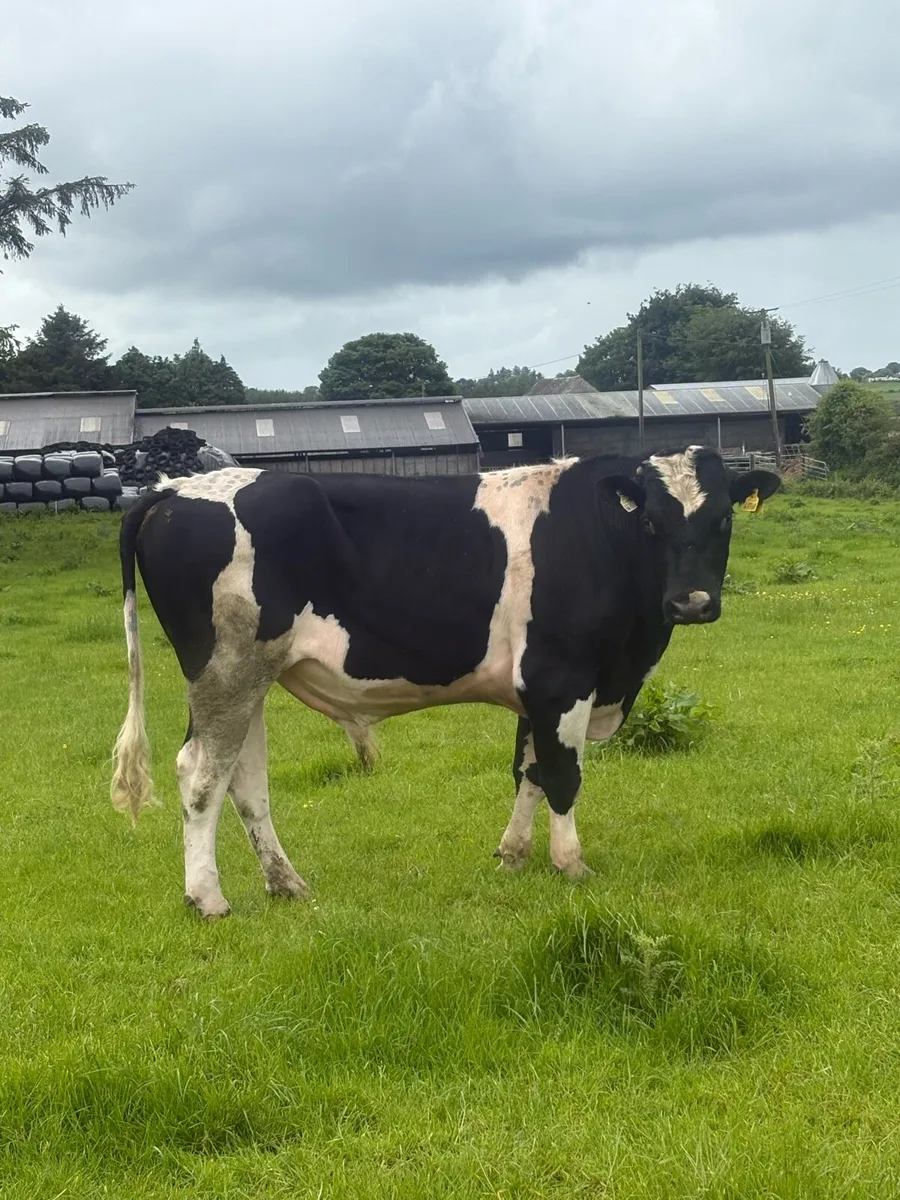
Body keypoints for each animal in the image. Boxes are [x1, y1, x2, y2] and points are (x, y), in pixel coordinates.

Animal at [110, 446, 780, 919]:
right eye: (651, 523)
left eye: (723, 519)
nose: (692, 602)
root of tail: (171, 490)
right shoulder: (561, 678)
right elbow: (563, 777)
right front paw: (572, 865)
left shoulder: (534, 690)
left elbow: (528, 772)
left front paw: (512, 857)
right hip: (226, 669)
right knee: (200, 774)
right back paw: (207, 899)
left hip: (251, 675)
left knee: (244, 781)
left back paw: (287, 884)